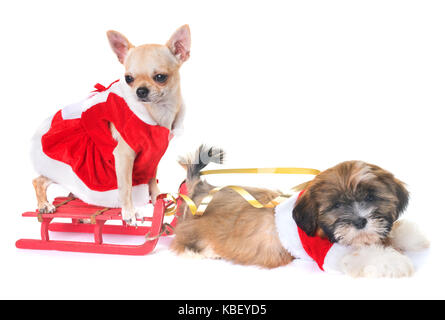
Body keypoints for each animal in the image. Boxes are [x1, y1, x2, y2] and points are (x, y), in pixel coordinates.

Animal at [170, 146, 426, 276]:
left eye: (371, 197)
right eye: (336, 206)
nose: (360, 221)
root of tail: (199, 190)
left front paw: (412, 237)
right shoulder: (324, 251)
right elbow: (357, 254)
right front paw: (391, 262)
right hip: (192, 230)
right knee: (181, 243)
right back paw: (203, 252)